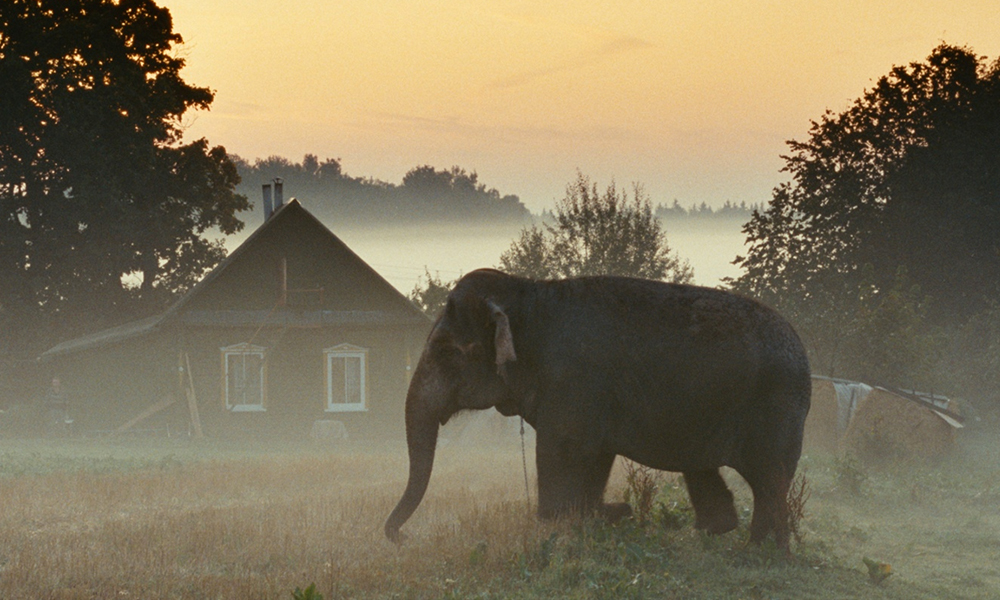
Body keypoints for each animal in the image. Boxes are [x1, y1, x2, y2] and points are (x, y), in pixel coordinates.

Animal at [384, 270, 812, 548]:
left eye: (445, 353)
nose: (401, 536)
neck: (530, 292)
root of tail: (803, 351)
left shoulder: (573, 382)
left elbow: (561, 452)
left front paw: (570, 522)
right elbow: (595, 457)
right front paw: (599, 515)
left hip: (775, 411)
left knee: (769, 482)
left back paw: (763, 553)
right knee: (723, 473)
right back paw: (725, 533)